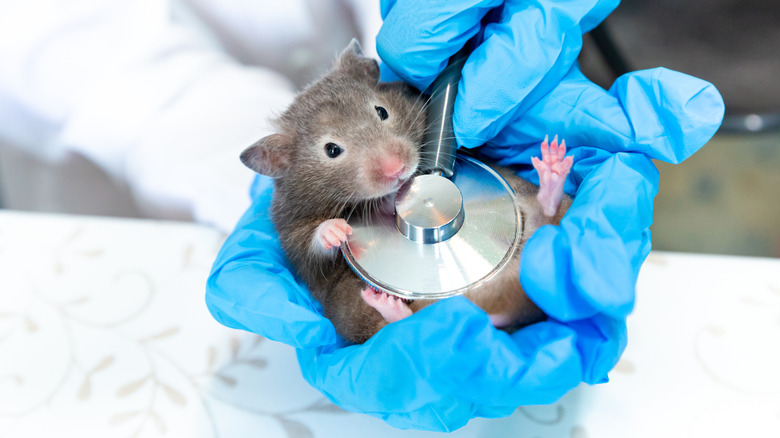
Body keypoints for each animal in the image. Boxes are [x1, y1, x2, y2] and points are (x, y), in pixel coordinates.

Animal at [239, 41, 572, 344]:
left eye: (382, 111)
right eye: (331, 150)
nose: (397, 168)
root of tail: (492, 311)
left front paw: (393, 196)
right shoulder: (293, 236)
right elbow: (312, 243)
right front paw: (339, 230)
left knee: (546, 213)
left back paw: (553, 166)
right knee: (398, 324)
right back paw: (386, 303)